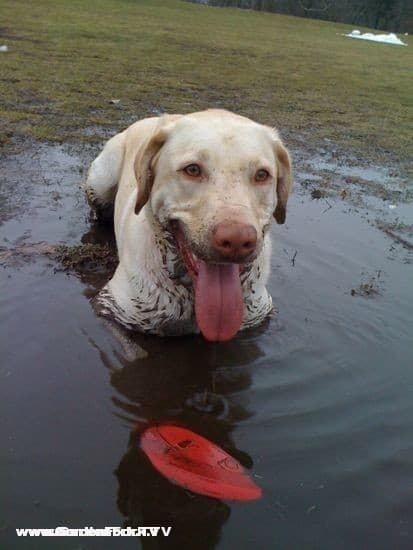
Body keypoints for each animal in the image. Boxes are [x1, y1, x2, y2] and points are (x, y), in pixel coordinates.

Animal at [84, 110, 290, 342]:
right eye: (192, 169)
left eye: (262, 174)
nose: (237, 240)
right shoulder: (111, 308)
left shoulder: (259, 313)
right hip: (99, 182)